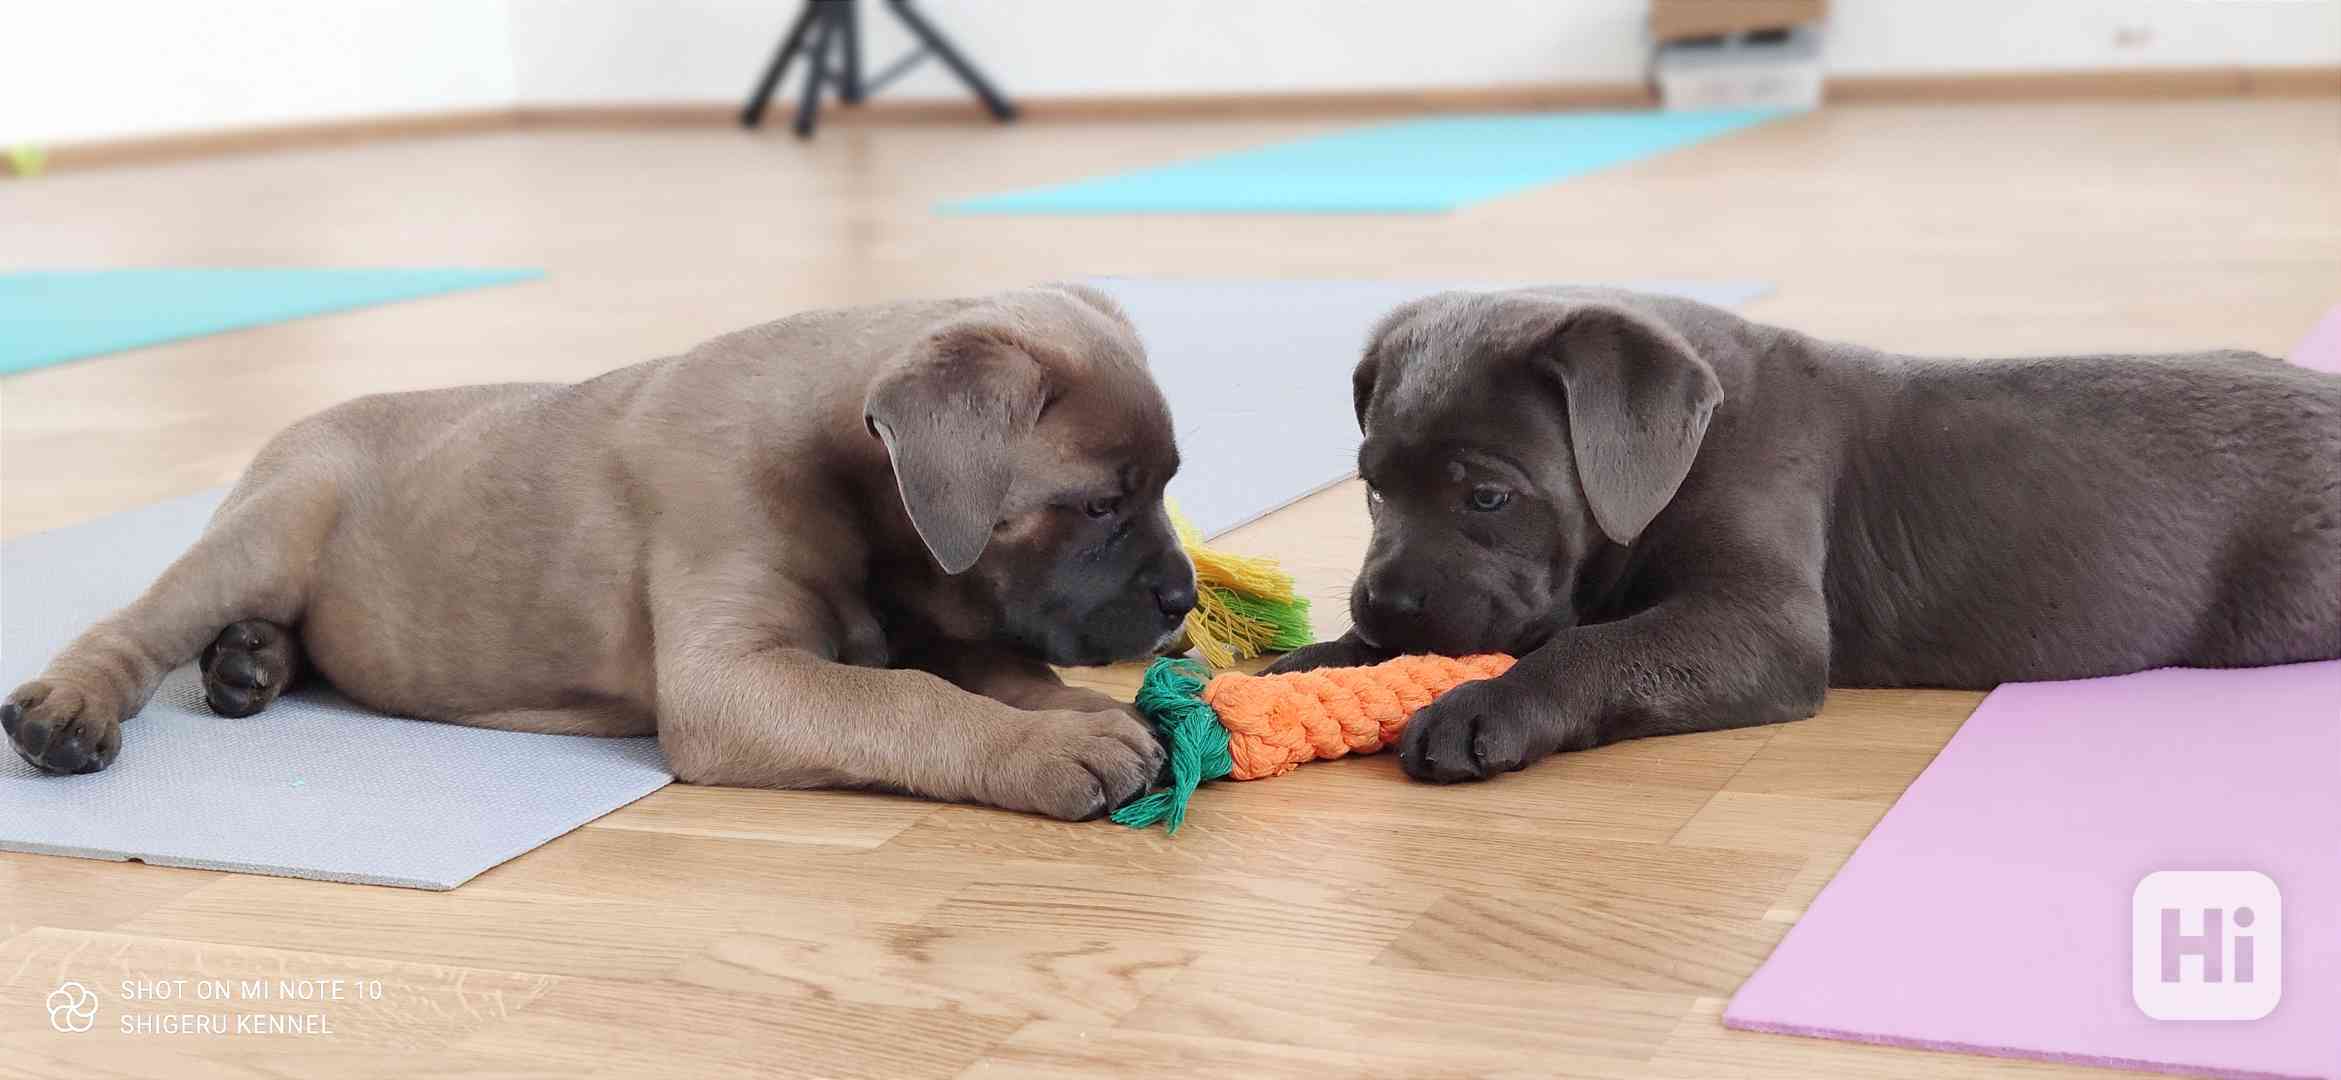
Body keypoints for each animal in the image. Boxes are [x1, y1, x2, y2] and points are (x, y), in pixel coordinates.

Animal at [4, 284, 1207, 815]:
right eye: (1097, 505)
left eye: (1166, 486)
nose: (1181, 601)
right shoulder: (735, 678)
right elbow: (905, 700)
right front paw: (1051, 748)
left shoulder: (935, 619)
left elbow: (990, 669)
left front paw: (1079, 712)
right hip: (272, 525)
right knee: (134, 630)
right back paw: (71, 711)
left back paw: (251, 662)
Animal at [1273, 282, 2331, 777]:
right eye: (1371, 491)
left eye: (1488, 499)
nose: (1386, 603)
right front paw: (1302, 666)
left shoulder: (1760, 621)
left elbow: (1593, 648)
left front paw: (1480, 706)